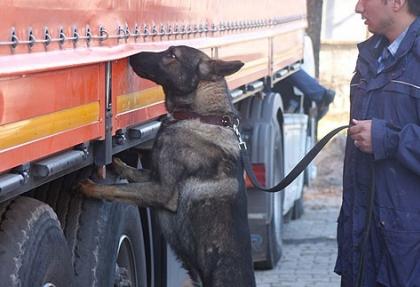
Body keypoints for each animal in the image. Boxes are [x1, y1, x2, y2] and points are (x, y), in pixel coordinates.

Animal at [79, 46, 256, 286]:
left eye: (172, 55)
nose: (133, 55)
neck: (200, 116)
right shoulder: (153, 176)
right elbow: (133, 173)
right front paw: (118, 163)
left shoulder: (162, 191)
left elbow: (119, 189)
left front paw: (91, 187)